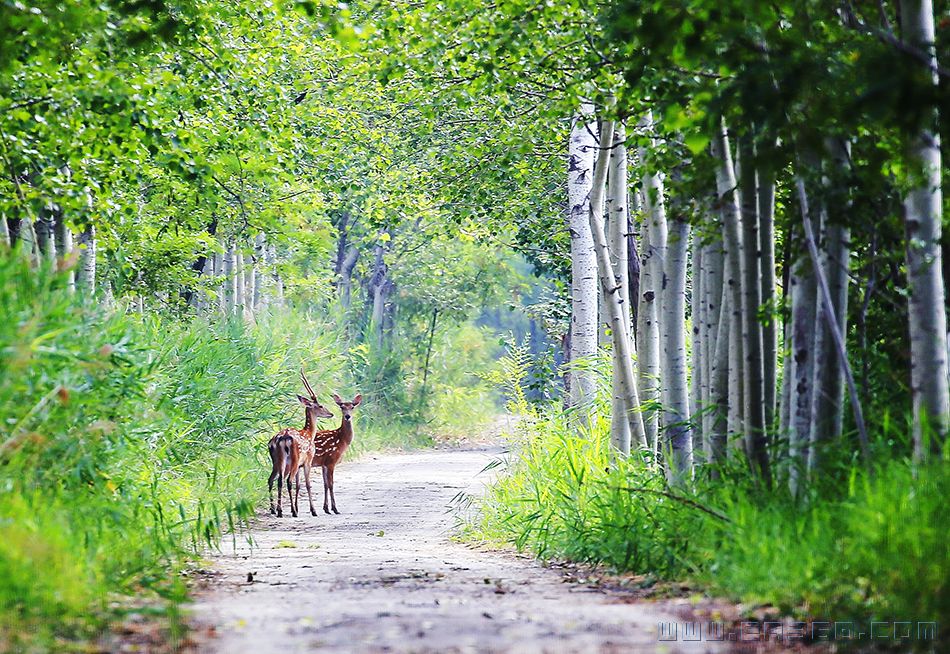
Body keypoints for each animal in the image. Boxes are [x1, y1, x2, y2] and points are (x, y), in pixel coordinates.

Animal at [270, 372, 336, 520]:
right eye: (320, 405)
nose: (331, 413)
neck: (309, 433)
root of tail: (284, 438)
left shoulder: (300, 465)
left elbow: (299, 485)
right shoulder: (308, 461)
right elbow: (307, 484)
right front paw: (313, 510)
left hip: (280, 460)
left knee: (277, 480)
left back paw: (278, 510)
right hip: (294, 459)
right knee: (287, 481)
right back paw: (291, 512)